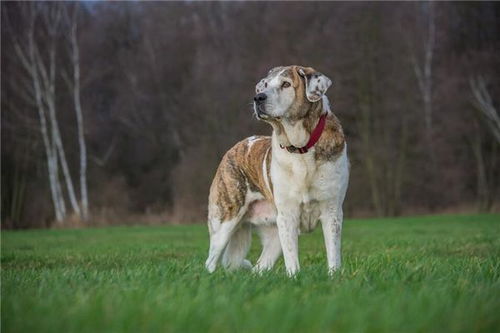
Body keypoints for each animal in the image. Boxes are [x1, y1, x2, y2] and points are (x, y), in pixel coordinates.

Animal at [205, 65, 350, 274]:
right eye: (264, 85)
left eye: (286, 84)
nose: (258, 98)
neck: (301, 148)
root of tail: (233, 148)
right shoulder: (287, 216)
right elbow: (292, 259)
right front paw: (295, 277)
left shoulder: (332, 212)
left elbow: (333, 256)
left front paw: (334, 277)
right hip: (225, 221)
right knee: (210, 261)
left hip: (273, 235)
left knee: (259, 268)